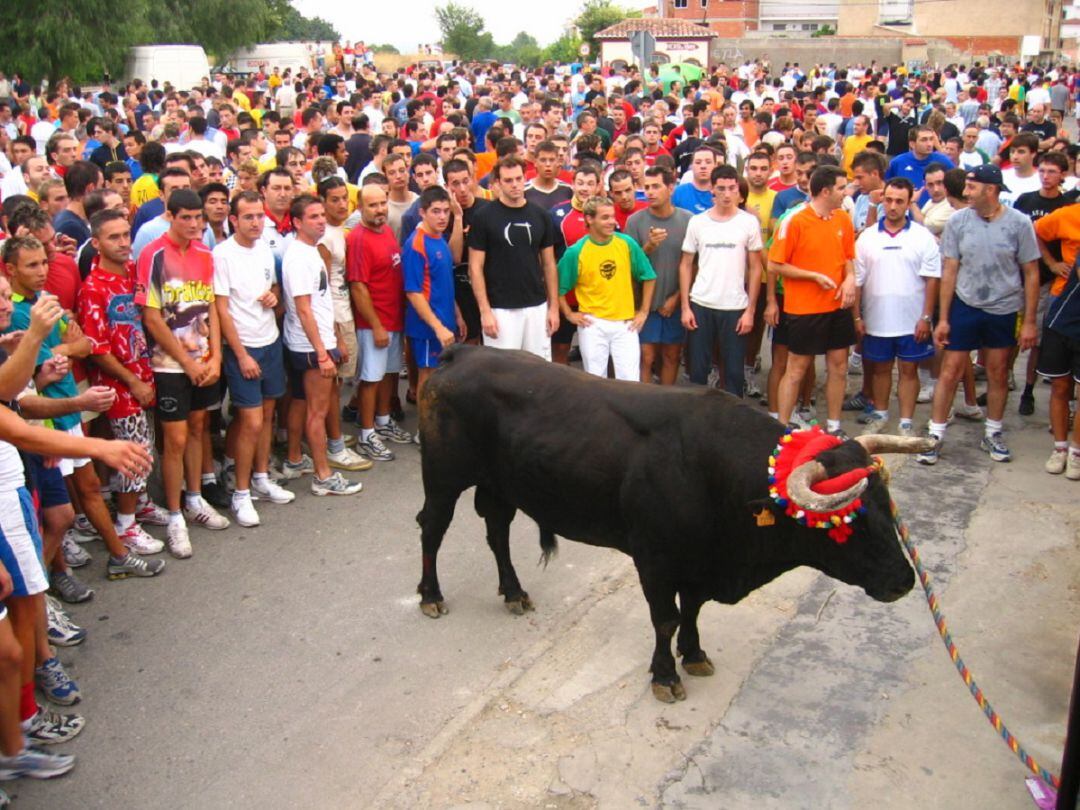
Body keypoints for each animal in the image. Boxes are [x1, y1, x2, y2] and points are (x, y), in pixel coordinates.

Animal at [412, 347, 928, 704]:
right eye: (848, 522)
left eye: (886, 507)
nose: (904, 581)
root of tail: (465, 353)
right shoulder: (655, 559)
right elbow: (667, 617)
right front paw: (665, 675)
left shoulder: (698, 563)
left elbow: (694, 610)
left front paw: (695, 655)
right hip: (443, 477)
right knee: (432, 528)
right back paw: (432, 596)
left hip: (500, 485)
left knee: (497, 531)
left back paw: (514, 591)